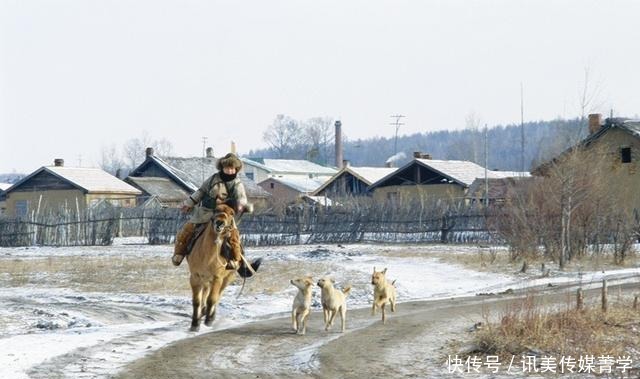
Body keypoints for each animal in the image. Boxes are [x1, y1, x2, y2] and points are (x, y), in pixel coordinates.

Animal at [185, 203, 260, 332]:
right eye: (216, 210)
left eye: (232, 213)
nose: (219, 222)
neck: (208, 255)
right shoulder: (195, 277)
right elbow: (197, 301)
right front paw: (195, 324)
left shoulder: (217, 278)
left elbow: (212, 299)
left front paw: (208, 321)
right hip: (205, 280)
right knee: (205, 294)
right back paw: (203, 312)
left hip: (227, 278)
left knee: (217, 296)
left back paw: (210, 315)